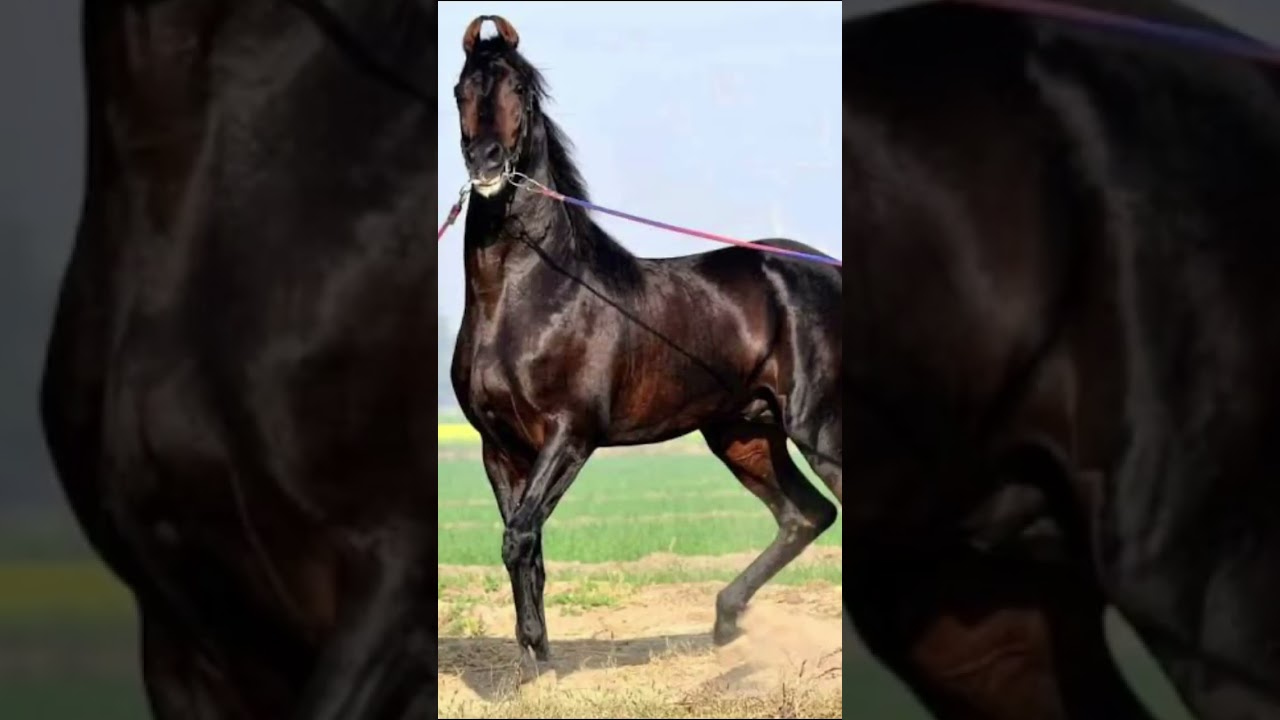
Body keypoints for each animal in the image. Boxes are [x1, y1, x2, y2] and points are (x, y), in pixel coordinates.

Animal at [446, 16, 843, 668]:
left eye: (520, 91)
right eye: (460, 90)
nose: (486, 162)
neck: (528, 297)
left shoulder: (570, 435)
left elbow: (520, 536)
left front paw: (539, 657)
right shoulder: (498, 447)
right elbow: (524, 547)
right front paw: (536, 656)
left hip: (819, 428)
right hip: (744, 435)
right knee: (806, 515)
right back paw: (725, 622)